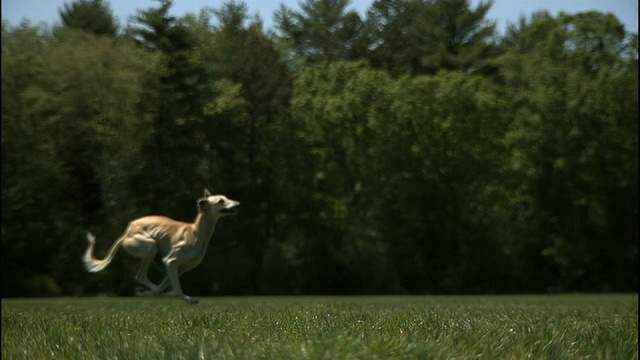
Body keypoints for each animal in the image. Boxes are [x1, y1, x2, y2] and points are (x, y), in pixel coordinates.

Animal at [82, 190, 238, 302]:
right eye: (220, 200)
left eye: (226, 197)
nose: (237, 204)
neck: (196, 232)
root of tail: (126, 233)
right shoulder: (170, 261)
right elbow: (176, 289)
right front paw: (186, 298)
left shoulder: (180, 268)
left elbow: (166, 287)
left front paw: (149, 293)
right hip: (150, 247)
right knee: (140, 276)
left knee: (144, 279)